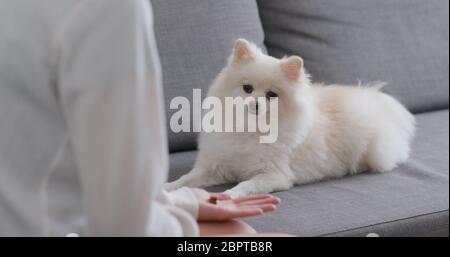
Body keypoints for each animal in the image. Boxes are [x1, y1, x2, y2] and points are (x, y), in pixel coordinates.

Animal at [165, 38, 414, 198]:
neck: (251, 129)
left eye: (271, 95)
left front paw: (229, 195)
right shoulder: (215, 167)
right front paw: (167, 187)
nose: (255, 103)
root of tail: (375, 97)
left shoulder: (274, 175)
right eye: (247, 88)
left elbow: (246, 185)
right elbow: (186, 179)